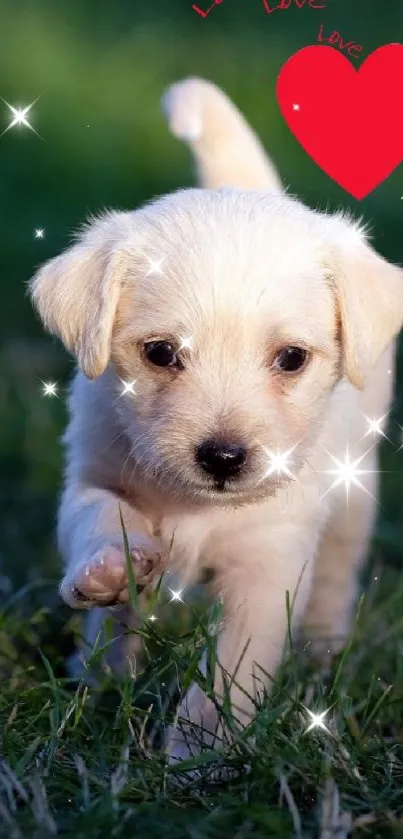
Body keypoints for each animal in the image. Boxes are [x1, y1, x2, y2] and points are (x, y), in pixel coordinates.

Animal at [29, 79, 403, 760]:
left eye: (292, 358)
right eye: (160, 352)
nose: (224, 458)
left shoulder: (268, 564)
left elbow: (230, 673)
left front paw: (198, 758)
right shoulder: (92, 473)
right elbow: (100, 517)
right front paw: (110, 568)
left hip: (355, 494)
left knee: (337, 576)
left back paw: (323, 651)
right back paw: (98, 671)